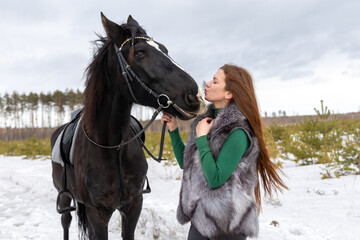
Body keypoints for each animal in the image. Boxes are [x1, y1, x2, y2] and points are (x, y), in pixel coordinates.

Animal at [50, 13, 205, 240]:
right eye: (139, 52)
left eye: (164, 49)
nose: (195, 97)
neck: (113, 147)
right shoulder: (97, 213)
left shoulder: (133, 205)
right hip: (64, 198)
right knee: (65, 222)